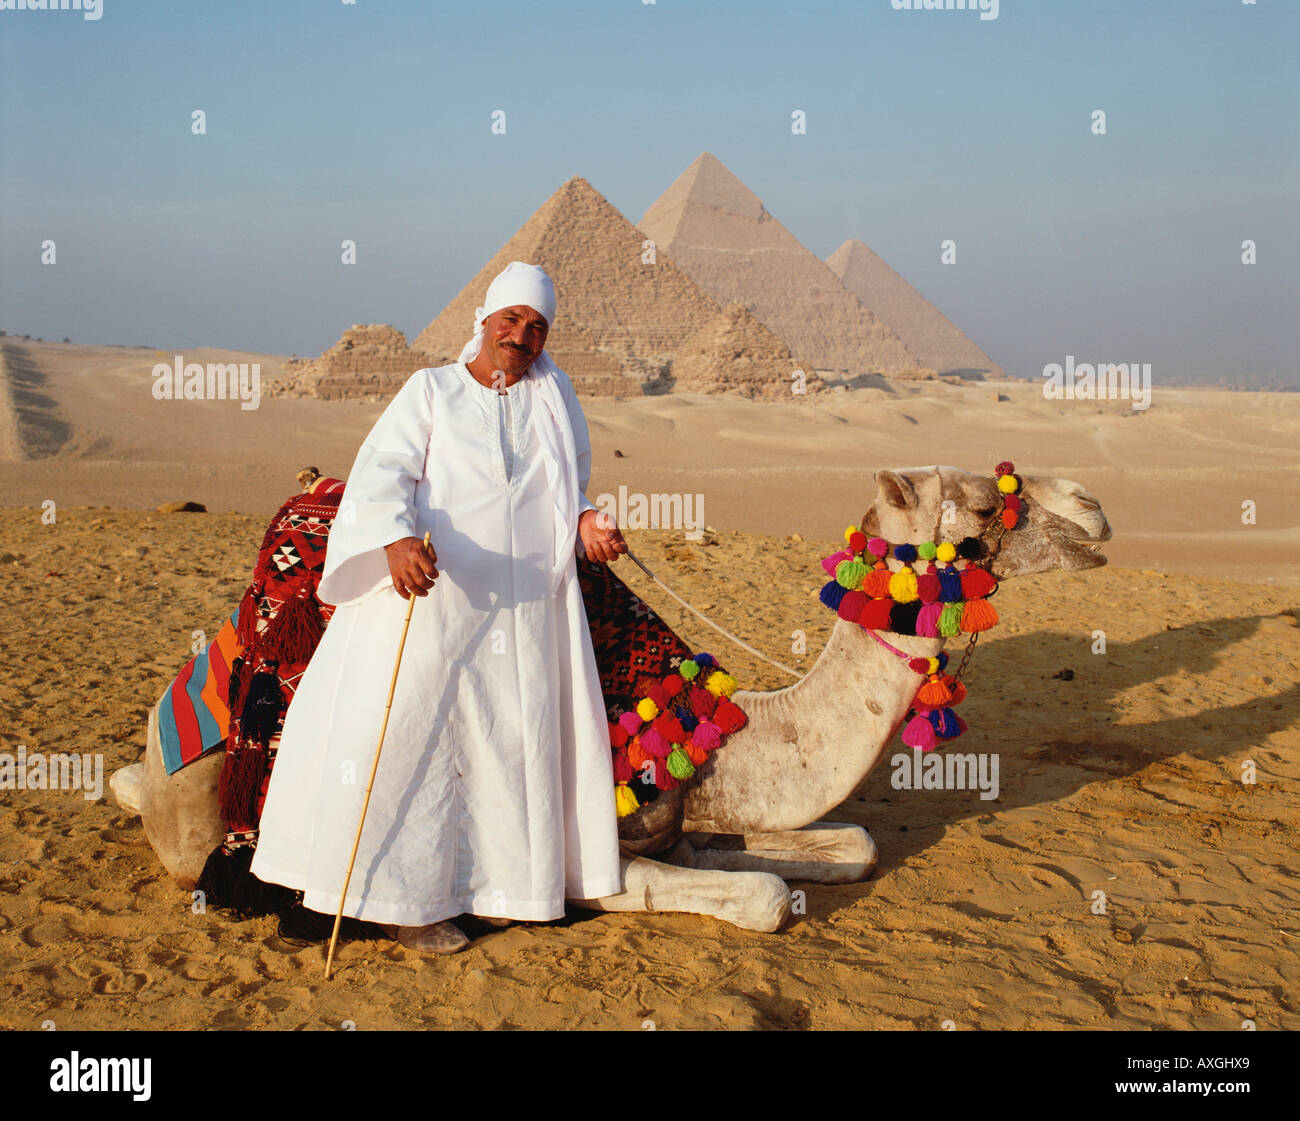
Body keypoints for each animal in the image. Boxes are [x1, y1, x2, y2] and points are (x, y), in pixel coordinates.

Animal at [110, 465, 1110, 935]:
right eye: (980, 508)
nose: (1094, 505)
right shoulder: (582, 854)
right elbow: (760, 898)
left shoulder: (692, 813)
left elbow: (850, 846)